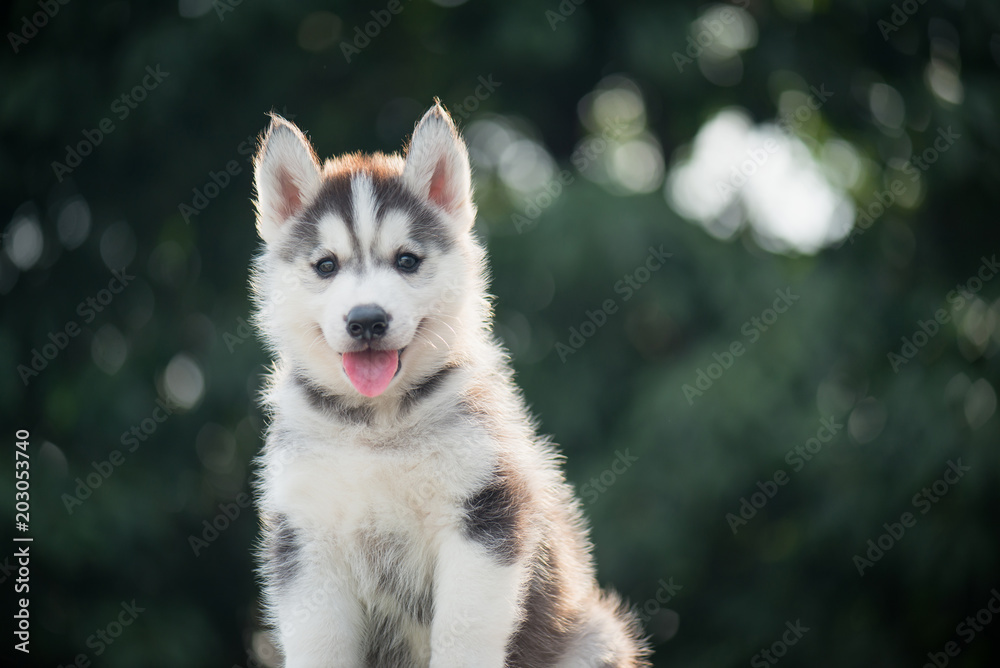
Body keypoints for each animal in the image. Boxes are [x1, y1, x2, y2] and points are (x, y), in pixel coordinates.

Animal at [252, 100, 648, 668]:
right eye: (326, 265)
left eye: (407, 260)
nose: (367, 320)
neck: (376, 427)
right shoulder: (307, 541)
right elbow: (319, 644)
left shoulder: (482, 513)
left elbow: (464, 633)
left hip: (595, 636)